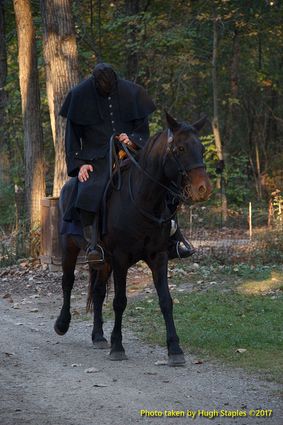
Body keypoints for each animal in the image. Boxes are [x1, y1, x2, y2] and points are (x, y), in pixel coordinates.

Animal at [54, 112, 212, 364]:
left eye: (201, 149)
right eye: (179, 148)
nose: (203, 189)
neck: (143, 199)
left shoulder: (158, 256)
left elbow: (166, 300)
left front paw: (175, 348)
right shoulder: (120, 258)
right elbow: (120, 301)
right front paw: (118, 346)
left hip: (103, 262)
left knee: (98, 292)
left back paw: (98, 336)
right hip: (69, 247)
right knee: (67, 282)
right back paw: (62, 323)